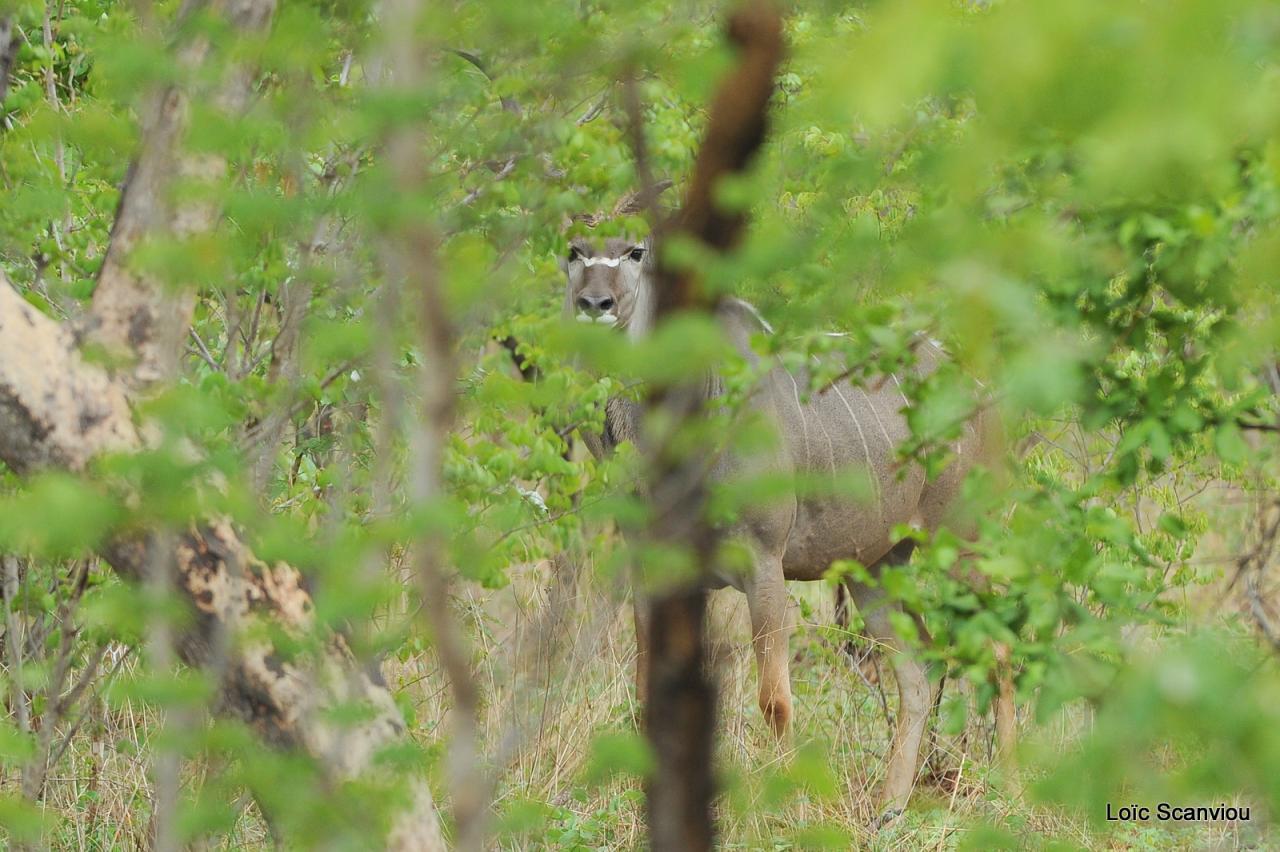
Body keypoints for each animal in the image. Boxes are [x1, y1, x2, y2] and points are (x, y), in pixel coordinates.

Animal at [565, 234, 993, 818]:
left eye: (635, 251)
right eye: (574, 250)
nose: (594, 304)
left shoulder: (763, 563)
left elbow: (774, 700)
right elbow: (647, 689)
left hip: (959, 541)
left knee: (1002, 647)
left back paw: (1013, 781)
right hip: (877, 567)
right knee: (918, 668)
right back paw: (889, 808)